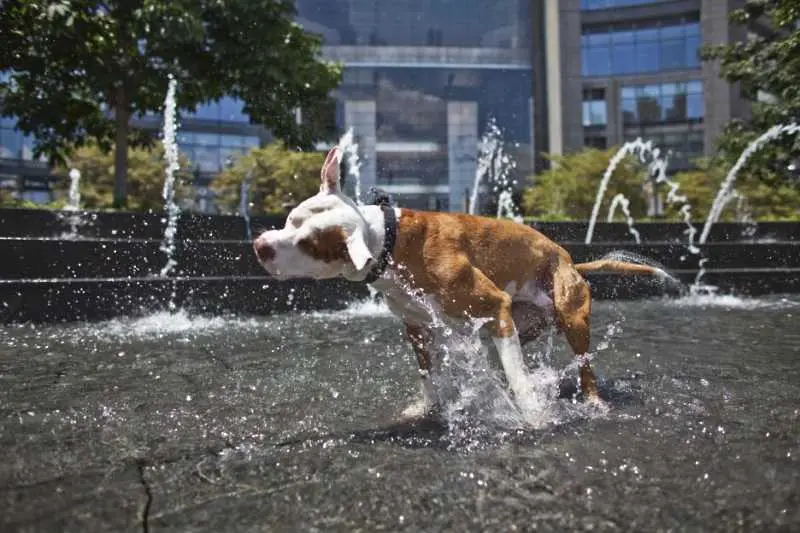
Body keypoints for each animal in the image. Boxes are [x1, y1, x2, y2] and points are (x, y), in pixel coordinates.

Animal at [253, 145, 664, 416]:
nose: (260, 245)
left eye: (309, 244)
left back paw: (592, 400)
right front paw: (427, 407)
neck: (389, 241)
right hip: (513, 325)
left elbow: (519, 379)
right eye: (290, 219)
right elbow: (427, 374)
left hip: (568, 316)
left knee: (582, 366)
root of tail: (569, 259)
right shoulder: (418, 327)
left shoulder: (493, 304)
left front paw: (533, 416)